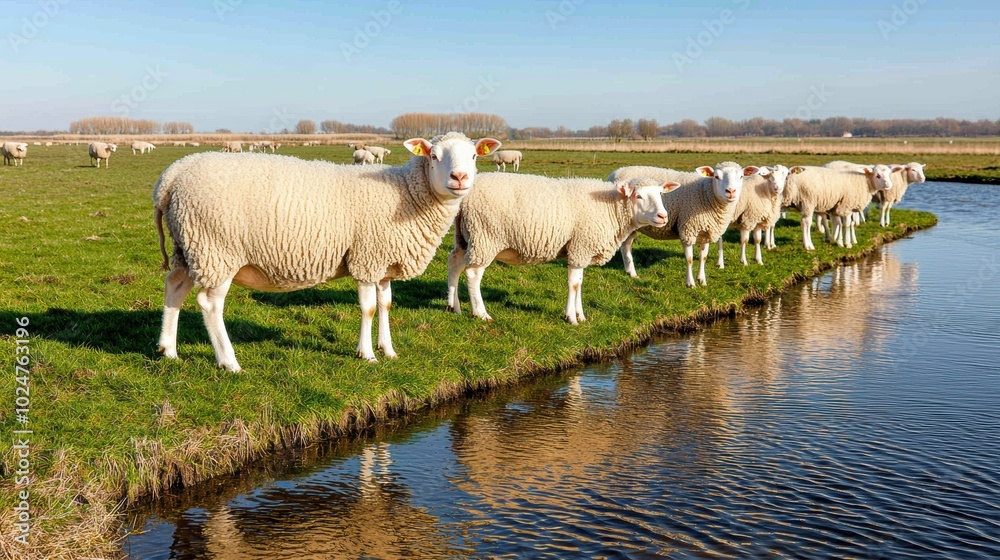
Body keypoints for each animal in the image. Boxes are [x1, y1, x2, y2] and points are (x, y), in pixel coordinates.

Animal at [153, 132, 501, 371]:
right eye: (434, 156)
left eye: (474, 156)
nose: (460, 177)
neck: (406, 195)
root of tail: (170, 177)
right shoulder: (366, 257)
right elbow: (368, 309)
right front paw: (367, 354)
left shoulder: (383, 262)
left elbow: (386, 305)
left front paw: (388, 350)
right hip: (216, 249)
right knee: (209, 304)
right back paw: (229, 362)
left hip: (188, 245)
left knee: (175, 287)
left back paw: (168, 350)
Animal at [447, 174, 677, 324]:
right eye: (639, 196)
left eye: (660, 194)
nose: (663, 216)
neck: (610, 209)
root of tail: (465, 198)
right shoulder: (580, 246)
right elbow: (574, 284)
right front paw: (571, 318)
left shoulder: (581, 250)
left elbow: (580, 283)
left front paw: (581, 316)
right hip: (485, 237)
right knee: (473, 274)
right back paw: (481, 313)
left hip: (465, 236)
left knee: (454, 263)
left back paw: (454, 307)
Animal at [610, 162, 759, 287]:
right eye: (716, 177)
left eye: (741, 176)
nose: (731, 191)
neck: (706, 194)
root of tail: (616, 172)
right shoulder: (688, 230)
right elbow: (689, 259)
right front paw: (690, 283)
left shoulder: (706, 232)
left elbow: (703, 257)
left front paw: (702, 280)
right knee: (624, 245)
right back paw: (631, 271)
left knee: (626, 245)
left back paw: (631, 272)